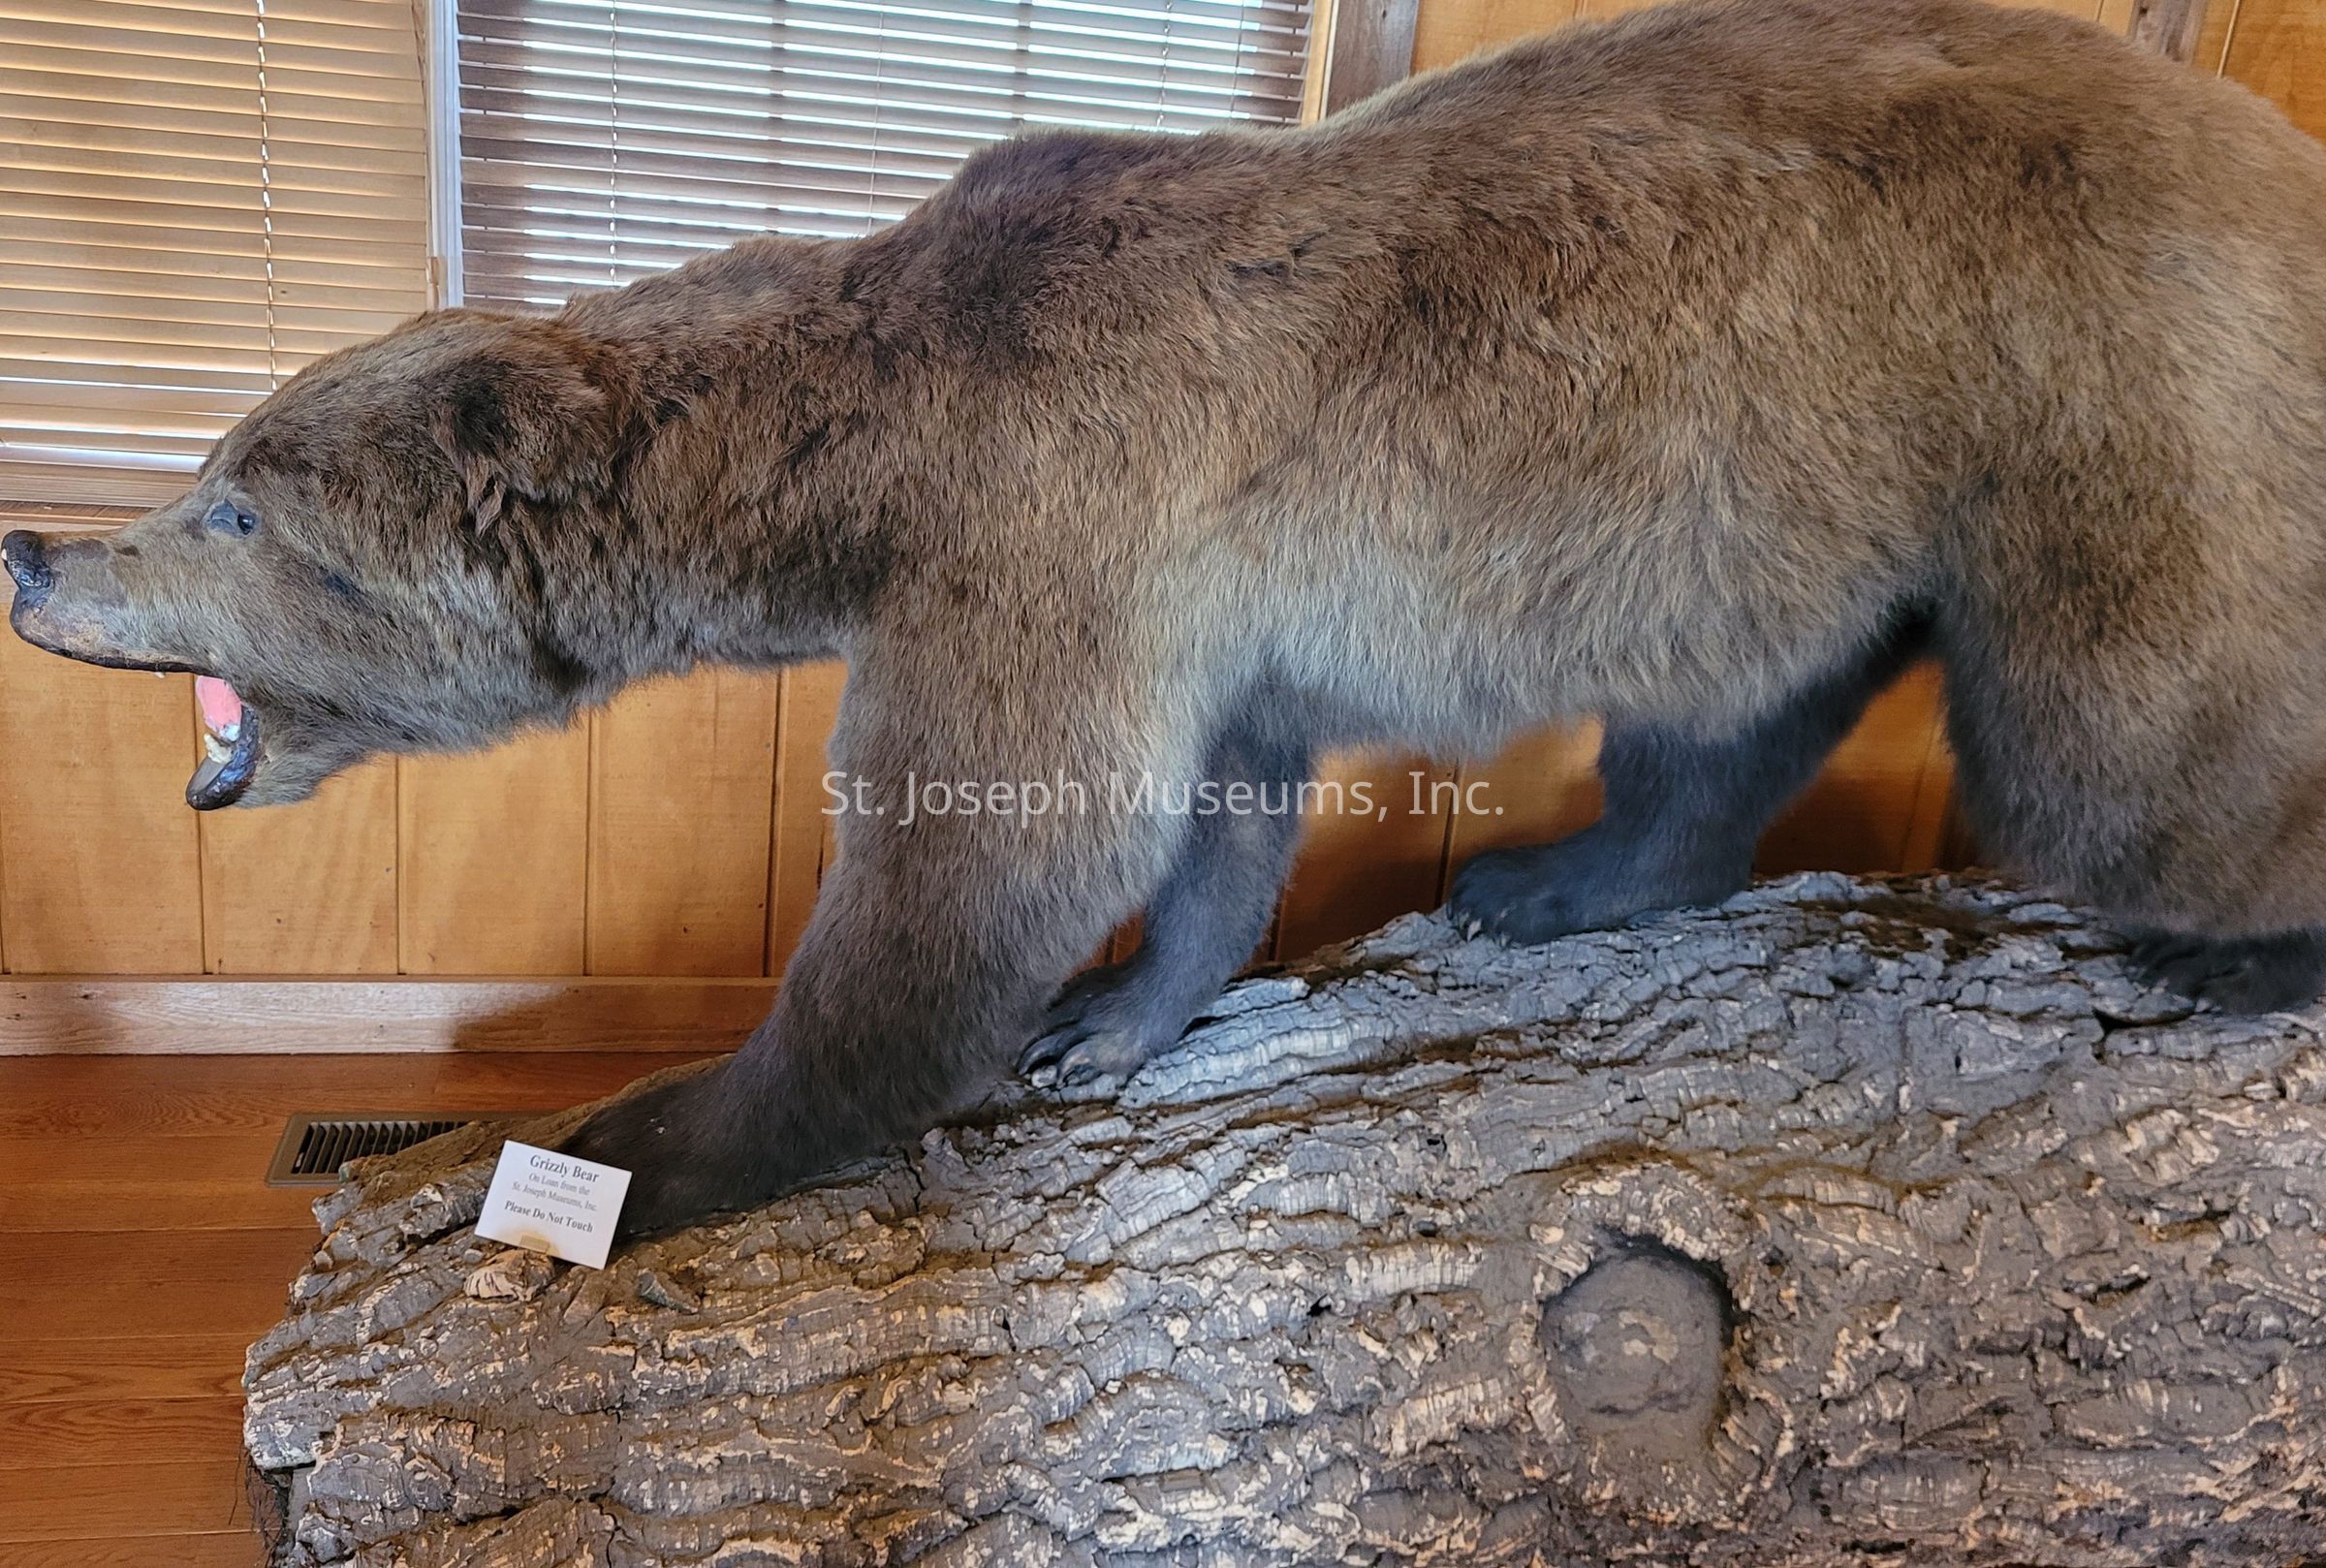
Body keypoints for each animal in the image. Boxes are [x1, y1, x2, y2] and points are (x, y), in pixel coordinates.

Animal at [9, 0, 2326, 1239]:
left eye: (227, 492)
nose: (36, 550)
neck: (843, 467)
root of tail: (2262, 146)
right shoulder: (1190, 590)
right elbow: (1211, 812)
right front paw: (1117, 1012)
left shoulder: (1053, 508)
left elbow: (979, 863)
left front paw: (638, 1139)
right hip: (1772, 510)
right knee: (1736, 709)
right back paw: (1557, 877)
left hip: (2084, 399)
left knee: (2127, 741)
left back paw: (2238, 946)